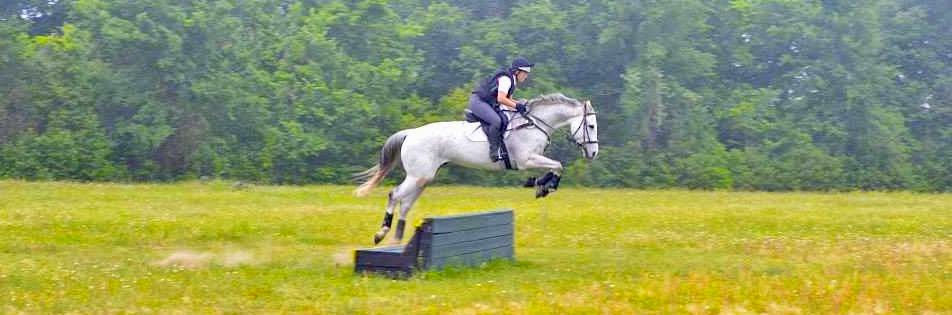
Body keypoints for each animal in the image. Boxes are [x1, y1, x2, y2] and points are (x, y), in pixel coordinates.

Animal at [354, 92, 600, 246]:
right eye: (590, 126)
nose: (593, 153)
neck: (534, 124)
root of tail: (411, 133)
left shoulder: (532, 159)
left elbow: (556, 166)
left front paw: (540, 184)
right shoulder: (525, 160)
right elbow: (558, 165)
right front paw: (543, 186)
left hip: (423, 178)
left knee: (405, 203)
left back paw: (396, 239)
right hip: (417, 176)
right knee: (394, 195)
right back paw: (381, 234)